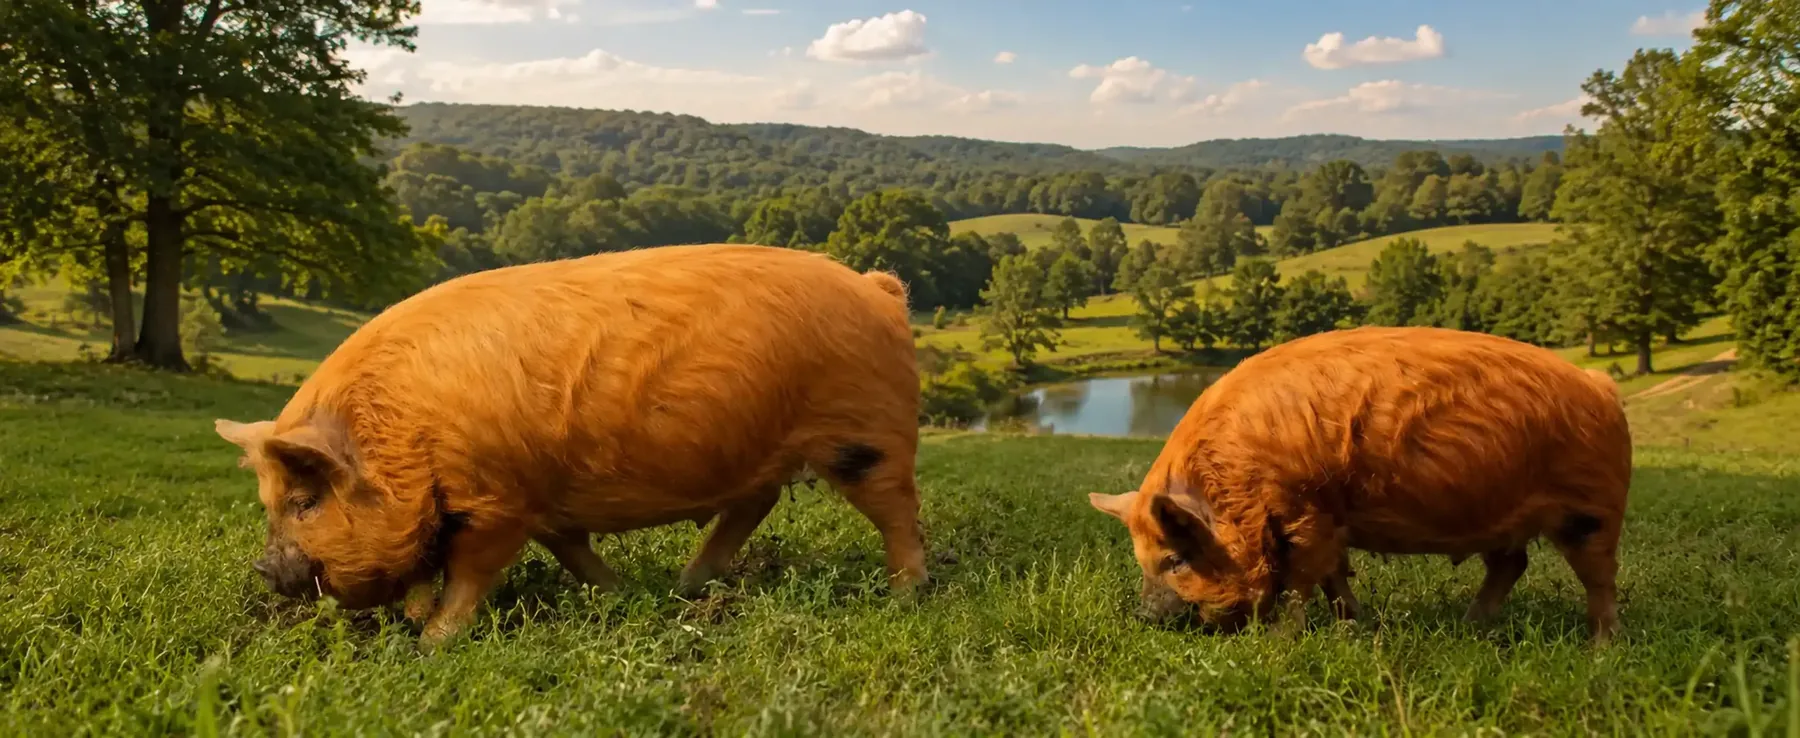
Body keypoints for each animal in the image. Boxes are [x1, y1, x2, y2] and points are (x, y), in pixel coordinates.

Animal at [214, 244, 928, 650]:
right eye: (272, 502)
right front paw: (617, 595)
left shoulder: (495, 502)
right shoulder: (538, 501)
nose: (264, 569)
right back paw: (687, 584)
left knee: (898, 510)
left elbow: (471, 574)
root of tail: (877, 290)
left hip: (868, 433)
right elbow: (568, 547)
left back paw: (905, 596)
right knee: (757, 500)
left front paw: (431, 643)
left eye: (305, 501)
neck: (401, 435)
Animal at [1088, 326, 1632, 643]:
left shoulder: (1306, 512)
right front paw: (1354, 624)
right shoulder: (1329, 519)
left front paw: (1279, 642)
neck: (1236, 484)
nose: (1143, 617)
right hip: (1502, 517)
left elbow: (1303, 580)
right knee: (1511, 563)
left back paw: (1600, 648)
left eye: (1175, 558)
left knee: (1600, 578)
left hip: (1593, 508)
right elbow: (1333, 576)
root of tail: (1601, 387)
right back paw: (1470, 626)